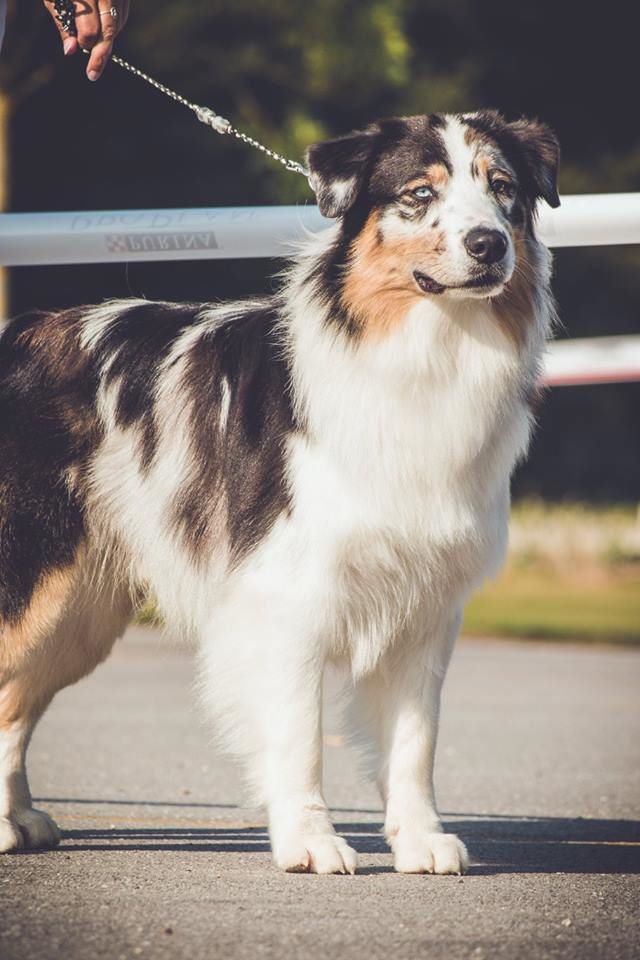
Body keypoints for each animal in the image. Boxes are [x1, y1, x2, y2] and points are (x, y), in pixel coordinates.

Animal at [0, 109, 556, 872]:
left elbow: (415, 741)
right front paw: (311, 842)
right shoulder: (288, 596)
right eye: (419, 193)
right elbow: (298, 735)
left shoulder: (425, 603)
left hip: (79, 611)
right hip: (33, 579)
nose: (488, 244)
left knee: (15, 703)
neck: (423, 353)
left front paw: (420, 840)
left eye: (503, 188)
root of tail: (16, 335)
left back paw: (18, 817)